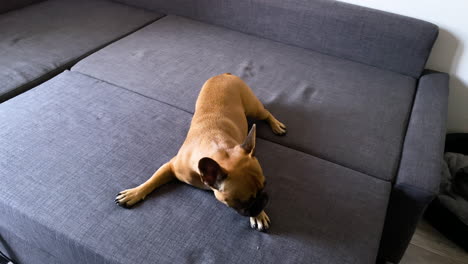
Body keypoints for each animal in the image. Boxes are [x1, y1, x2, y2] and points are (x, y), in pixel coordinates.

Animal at [116, 72, 286, 231]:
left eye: (265, 185)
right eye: (245, 201)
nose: (265, 199)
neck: (218, 150)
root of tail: (224, 75)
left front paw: (259, 215)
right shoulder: (170, 166)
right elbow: (152, 180)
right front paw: (134, 193)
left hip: (253, 108)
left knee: (266, 113)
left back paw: (276, 125)